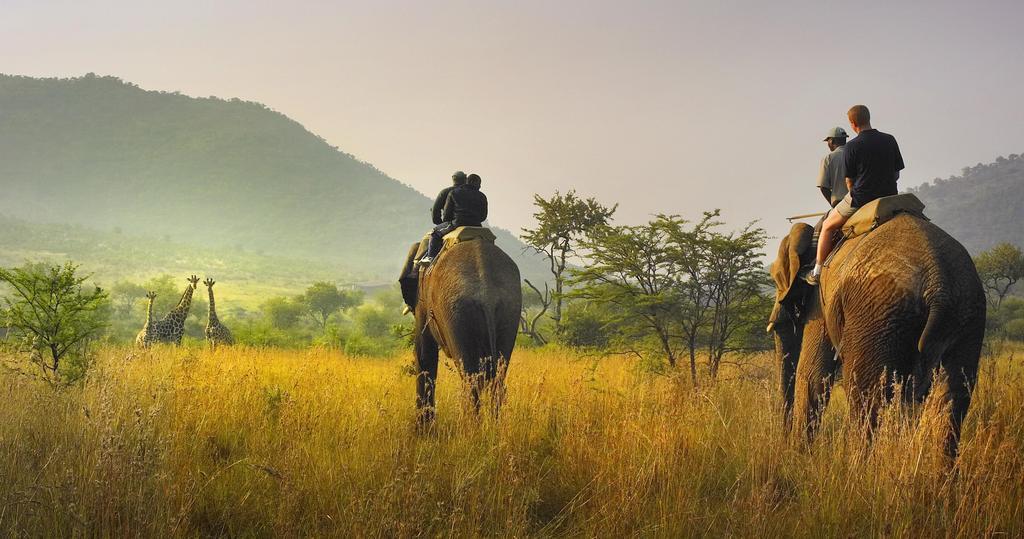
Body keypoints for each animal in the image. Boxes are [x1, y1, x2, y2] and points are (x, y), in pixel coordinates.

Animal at [405, 235, 520, 426]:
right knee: (497, 377)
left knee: (469, 379)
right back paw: (494, 427)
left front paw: (423, 429)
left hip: (456, 312)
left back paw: (470, 428)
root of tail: (487, 293)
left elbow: (424, 355)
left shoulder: (422, 302)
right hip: (509, 310)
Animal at [770, 213, 987, 459]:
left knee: (865, 394)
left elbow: (812, 375)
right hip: (967, 312)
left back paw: (857, 465)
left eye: (776, 279)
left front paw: (798, 457)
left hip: (878, 314)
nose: (784, 443)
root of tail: (938, 286)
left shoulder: (820, 299)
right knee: (952, 395)